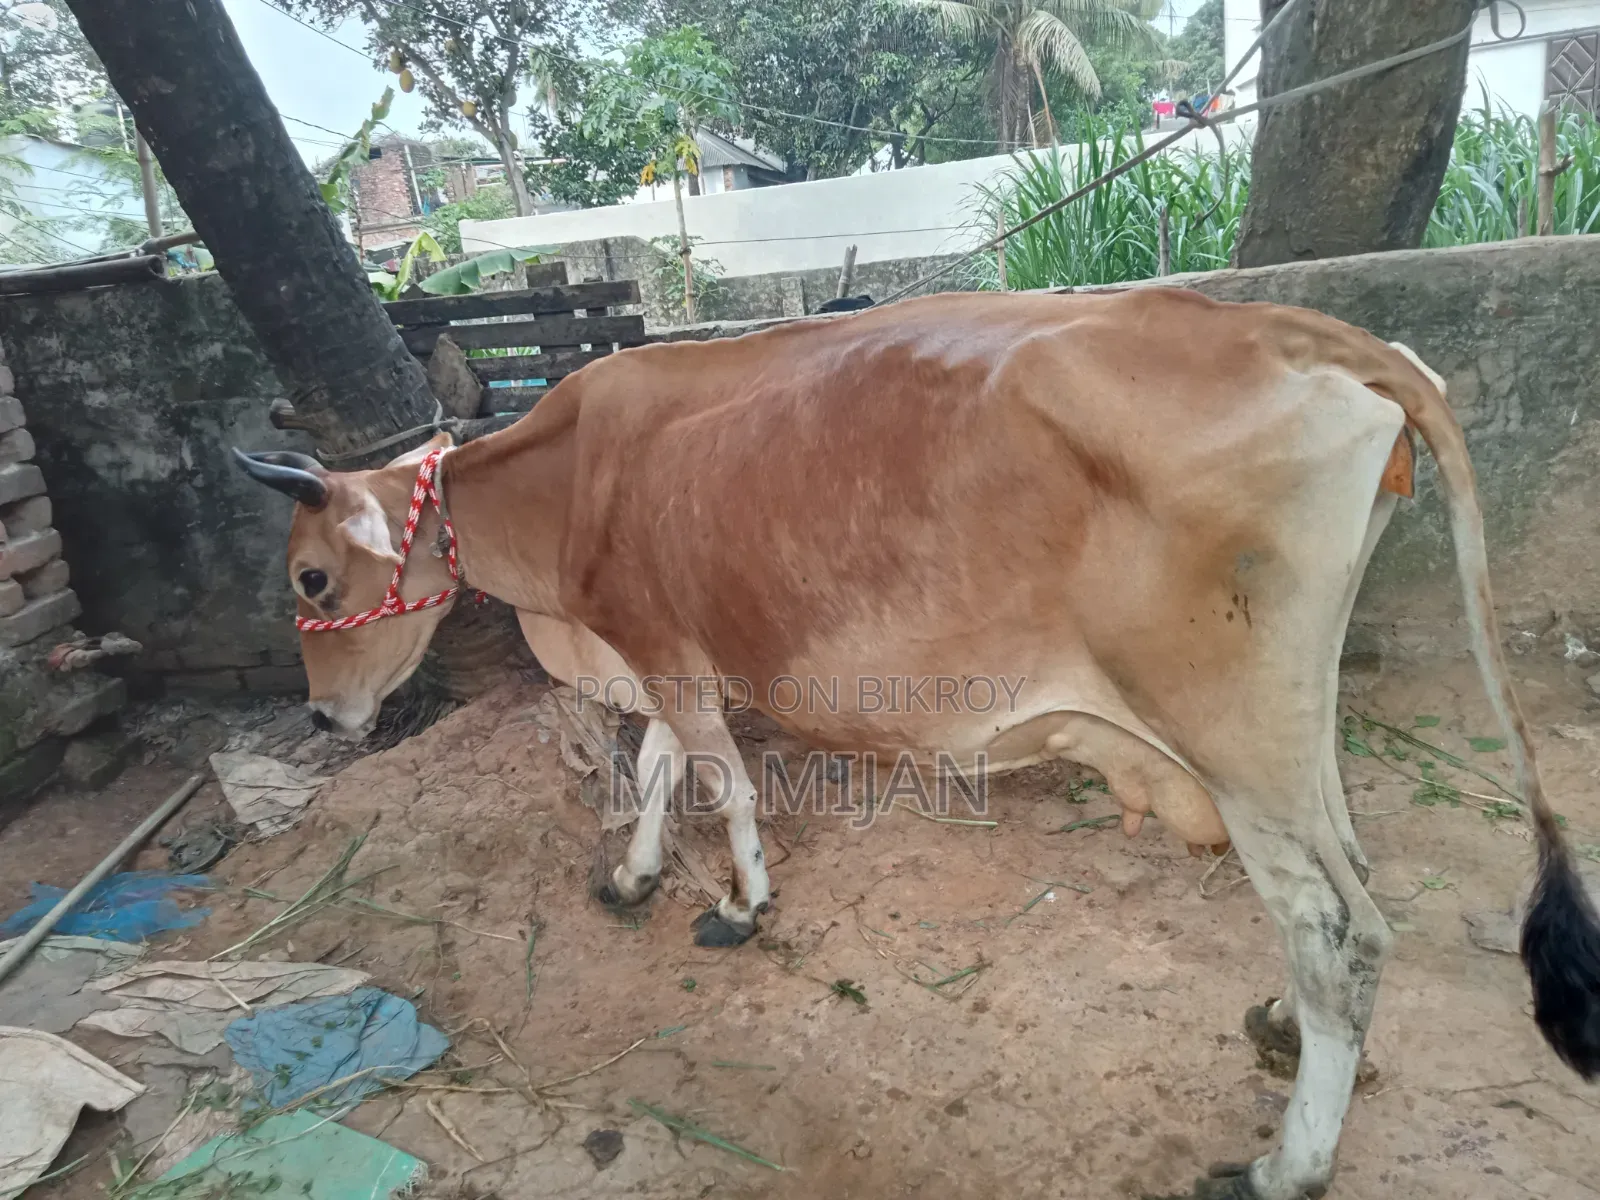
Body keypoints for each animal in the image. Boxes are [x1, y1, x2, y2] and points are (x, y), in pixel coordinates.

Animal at [234, 288, 1600, 1200]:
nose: (324, 720)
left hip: (1230, 730)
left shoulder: (661, 646)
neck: (572, 485)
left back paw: (1285, 1164)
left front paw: (743, 903)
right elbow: (666, 767)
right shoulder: (667, 653)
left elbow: (716, 773)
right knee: (1349, 874)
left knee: (1338, 927)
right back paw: (1278, 1030)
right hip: (1290, 725)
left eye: (310, 579)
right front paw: (633, 876)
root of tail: (1303, 330)